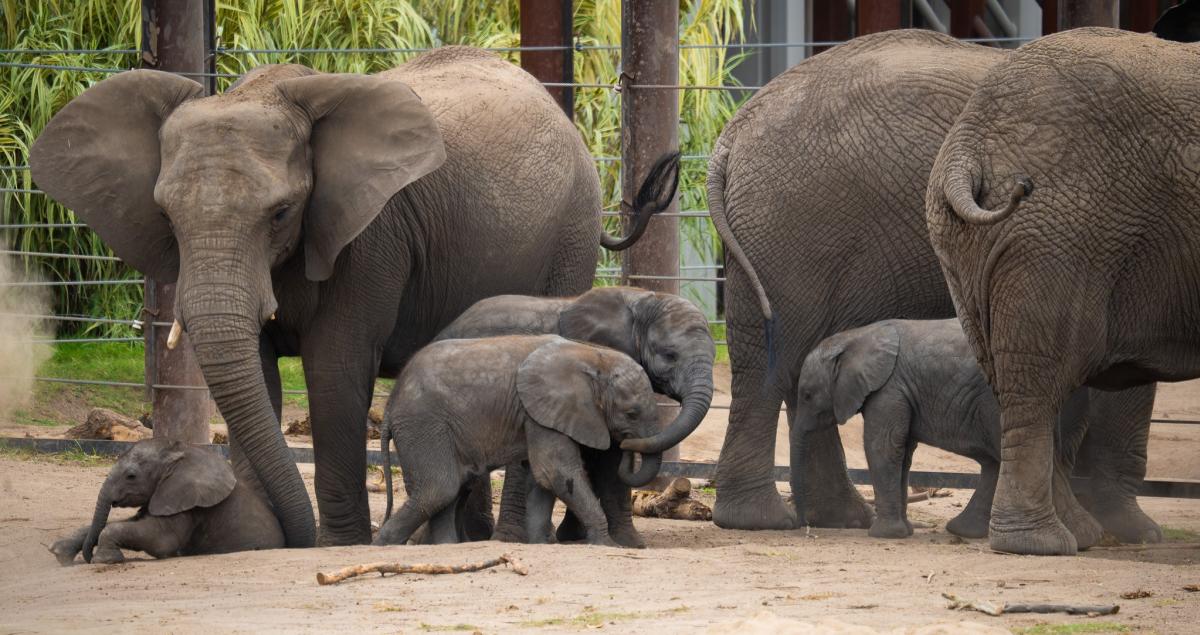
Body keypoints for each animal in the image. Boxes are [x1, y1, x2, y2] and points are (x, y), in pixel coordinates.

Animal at [50, 439, 283, 564]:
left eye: (131, 476)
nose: (87, 557)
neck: (180, 452)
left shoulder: (187, 501)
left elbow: (162, 540)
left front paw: (104, 560)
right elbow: (130, 522)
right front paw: (60, 553)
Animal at [374, 335, 663, 547]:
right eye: (632, 413)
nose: (625, 445)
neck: (591, 355)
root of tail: (390, 405)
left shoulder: (539, 413)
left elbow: (542, 479)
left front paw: (541, 544)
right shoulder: (541, 410)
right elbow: (555, 471)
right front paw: (607, 545)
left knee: (454, 488)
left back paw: (446, 546)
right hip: (423, 424)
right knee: (439, 487)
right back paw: (383, 544)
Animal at [432, 285, 715, 547]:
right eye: (669, 355)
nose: (630, 446)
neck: (642, 297)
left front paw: (626, 543)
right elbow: (605, 458)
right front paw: (623, 543)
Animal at [791, 319, 1095, 542]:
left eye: (807, 395)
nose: (803, 525)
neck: (855, 337)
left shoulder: (889, 389)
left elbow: (884, 446)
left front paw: (883, 535)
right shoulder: (901, 393)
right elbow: (903, 452)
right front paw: (905, 532)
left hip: (996, 402)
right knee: (997, 461)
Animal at [925, 27, 1200, 555]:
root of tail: (970, 141)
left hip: (969, 240)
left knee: (1016, 376)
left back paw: (1078, 533)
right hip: (1059, 237)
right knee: (1039, 377)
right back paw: (1041, 543)